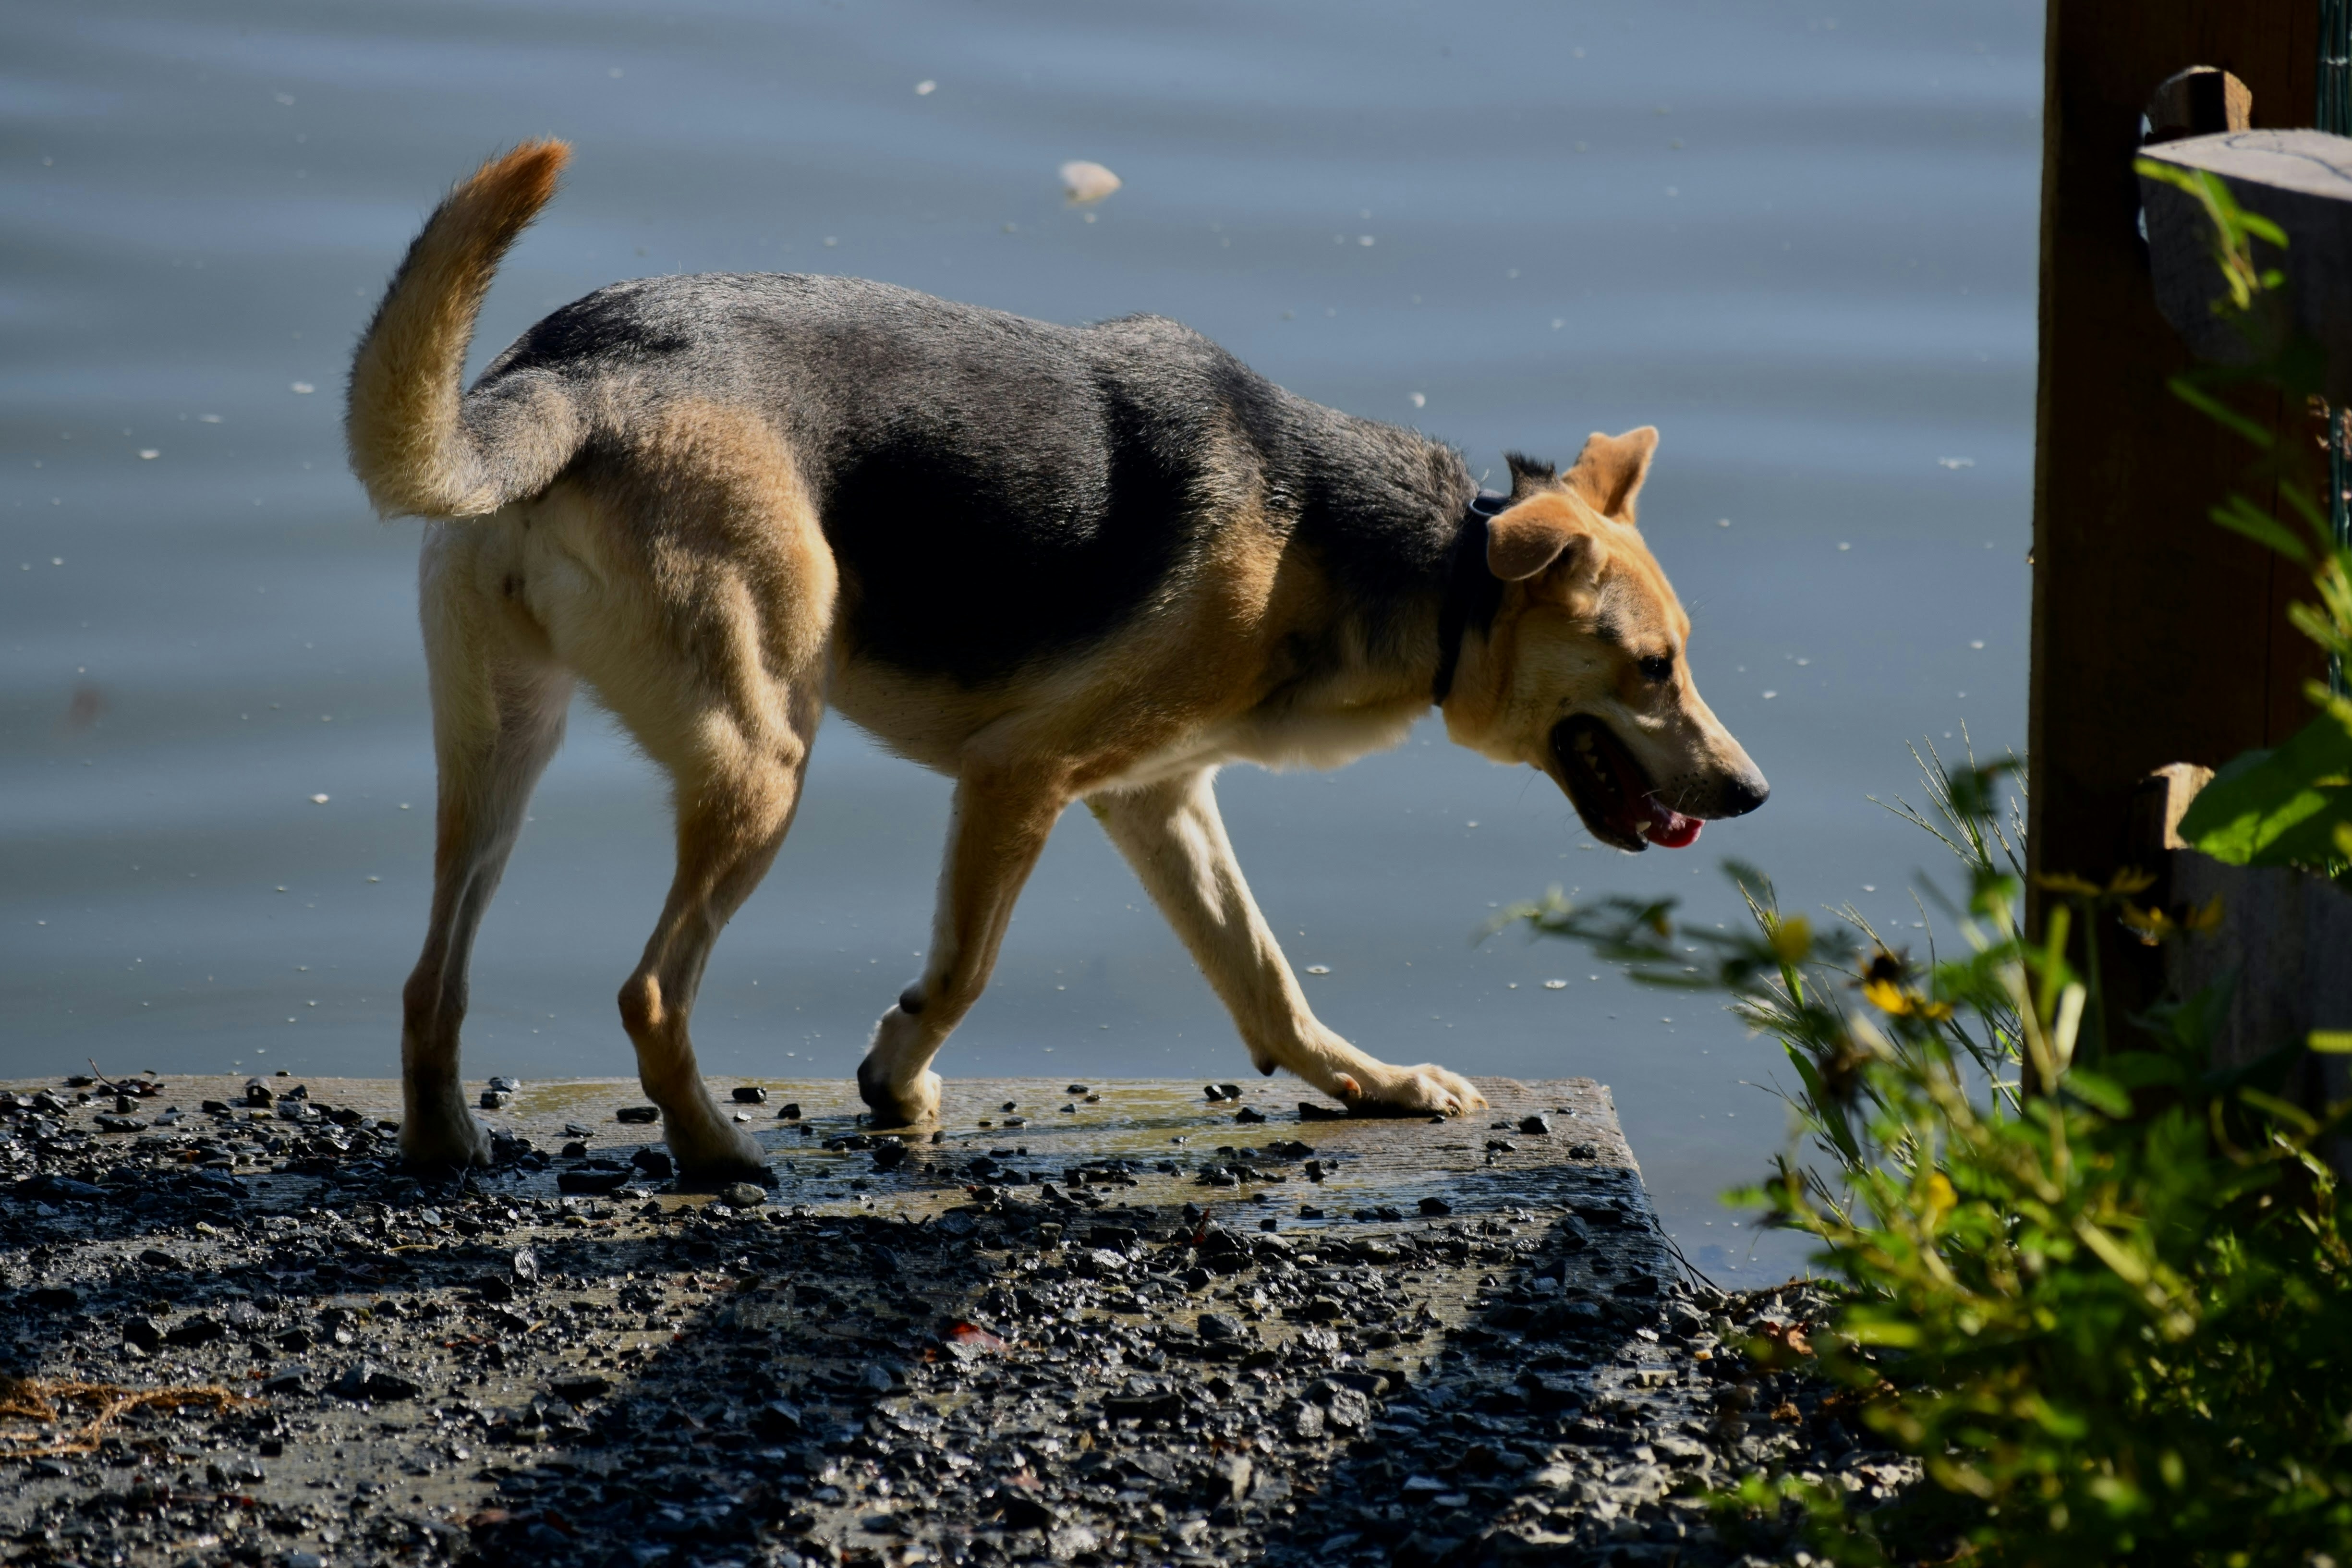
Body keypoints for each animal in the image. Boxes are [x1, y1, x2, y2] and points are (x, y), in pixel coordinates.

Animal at [343, 144, 1769, 1175]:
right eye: (1652, 667)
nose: (1752, 794)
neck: (1408, 561)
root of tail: (575, 374)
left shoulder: (1159, 798)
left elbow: (1265, 985)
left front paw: (1373, 1087)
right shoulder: (1018, 777)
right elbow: (964, 971)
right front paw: (895, 1077)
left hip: (500, 748)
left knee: (428, 979)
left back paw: (445, 1147)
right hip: (761, 763)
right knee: (649, 992)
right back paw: (721, 1157)